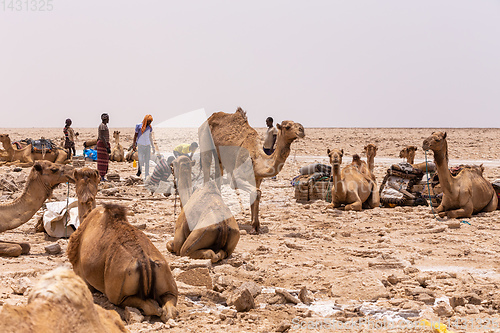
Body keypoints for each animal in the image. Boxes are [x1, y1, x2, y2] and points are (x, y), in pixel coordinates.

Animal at [67, 167, 179, 320]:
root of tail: (145, 262)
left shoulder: (82, 276)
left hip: (118, 289)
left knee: (145, 305)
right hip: (165, 275)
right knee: (169, 305)